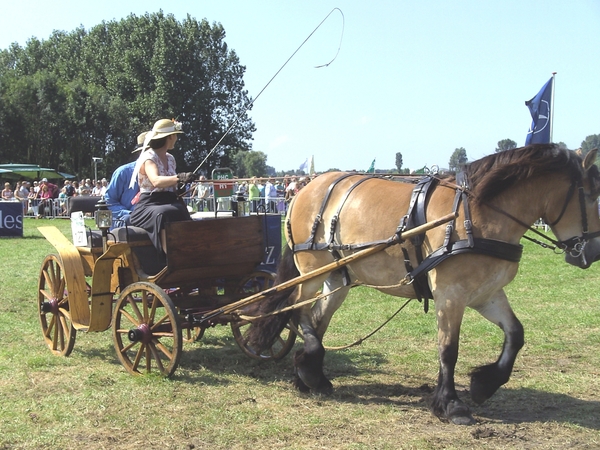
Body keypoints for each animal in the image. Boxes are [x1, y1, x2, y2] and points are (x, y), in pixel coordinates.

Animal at [246, 145, 600, 426]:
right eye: (592, 196)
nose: (594, 252)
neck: (475, 214)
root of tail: (307, 188)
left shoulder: (486, 293)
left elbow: (515, 334)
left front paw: (484, 384)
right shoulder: (451, 294)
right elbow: (448, 349)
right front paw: (452, 404)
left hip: (338, 277)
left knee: (317, 320)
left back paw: (311, 376)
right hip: (311, 270)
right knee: (296, 311)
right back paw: (308, 370)